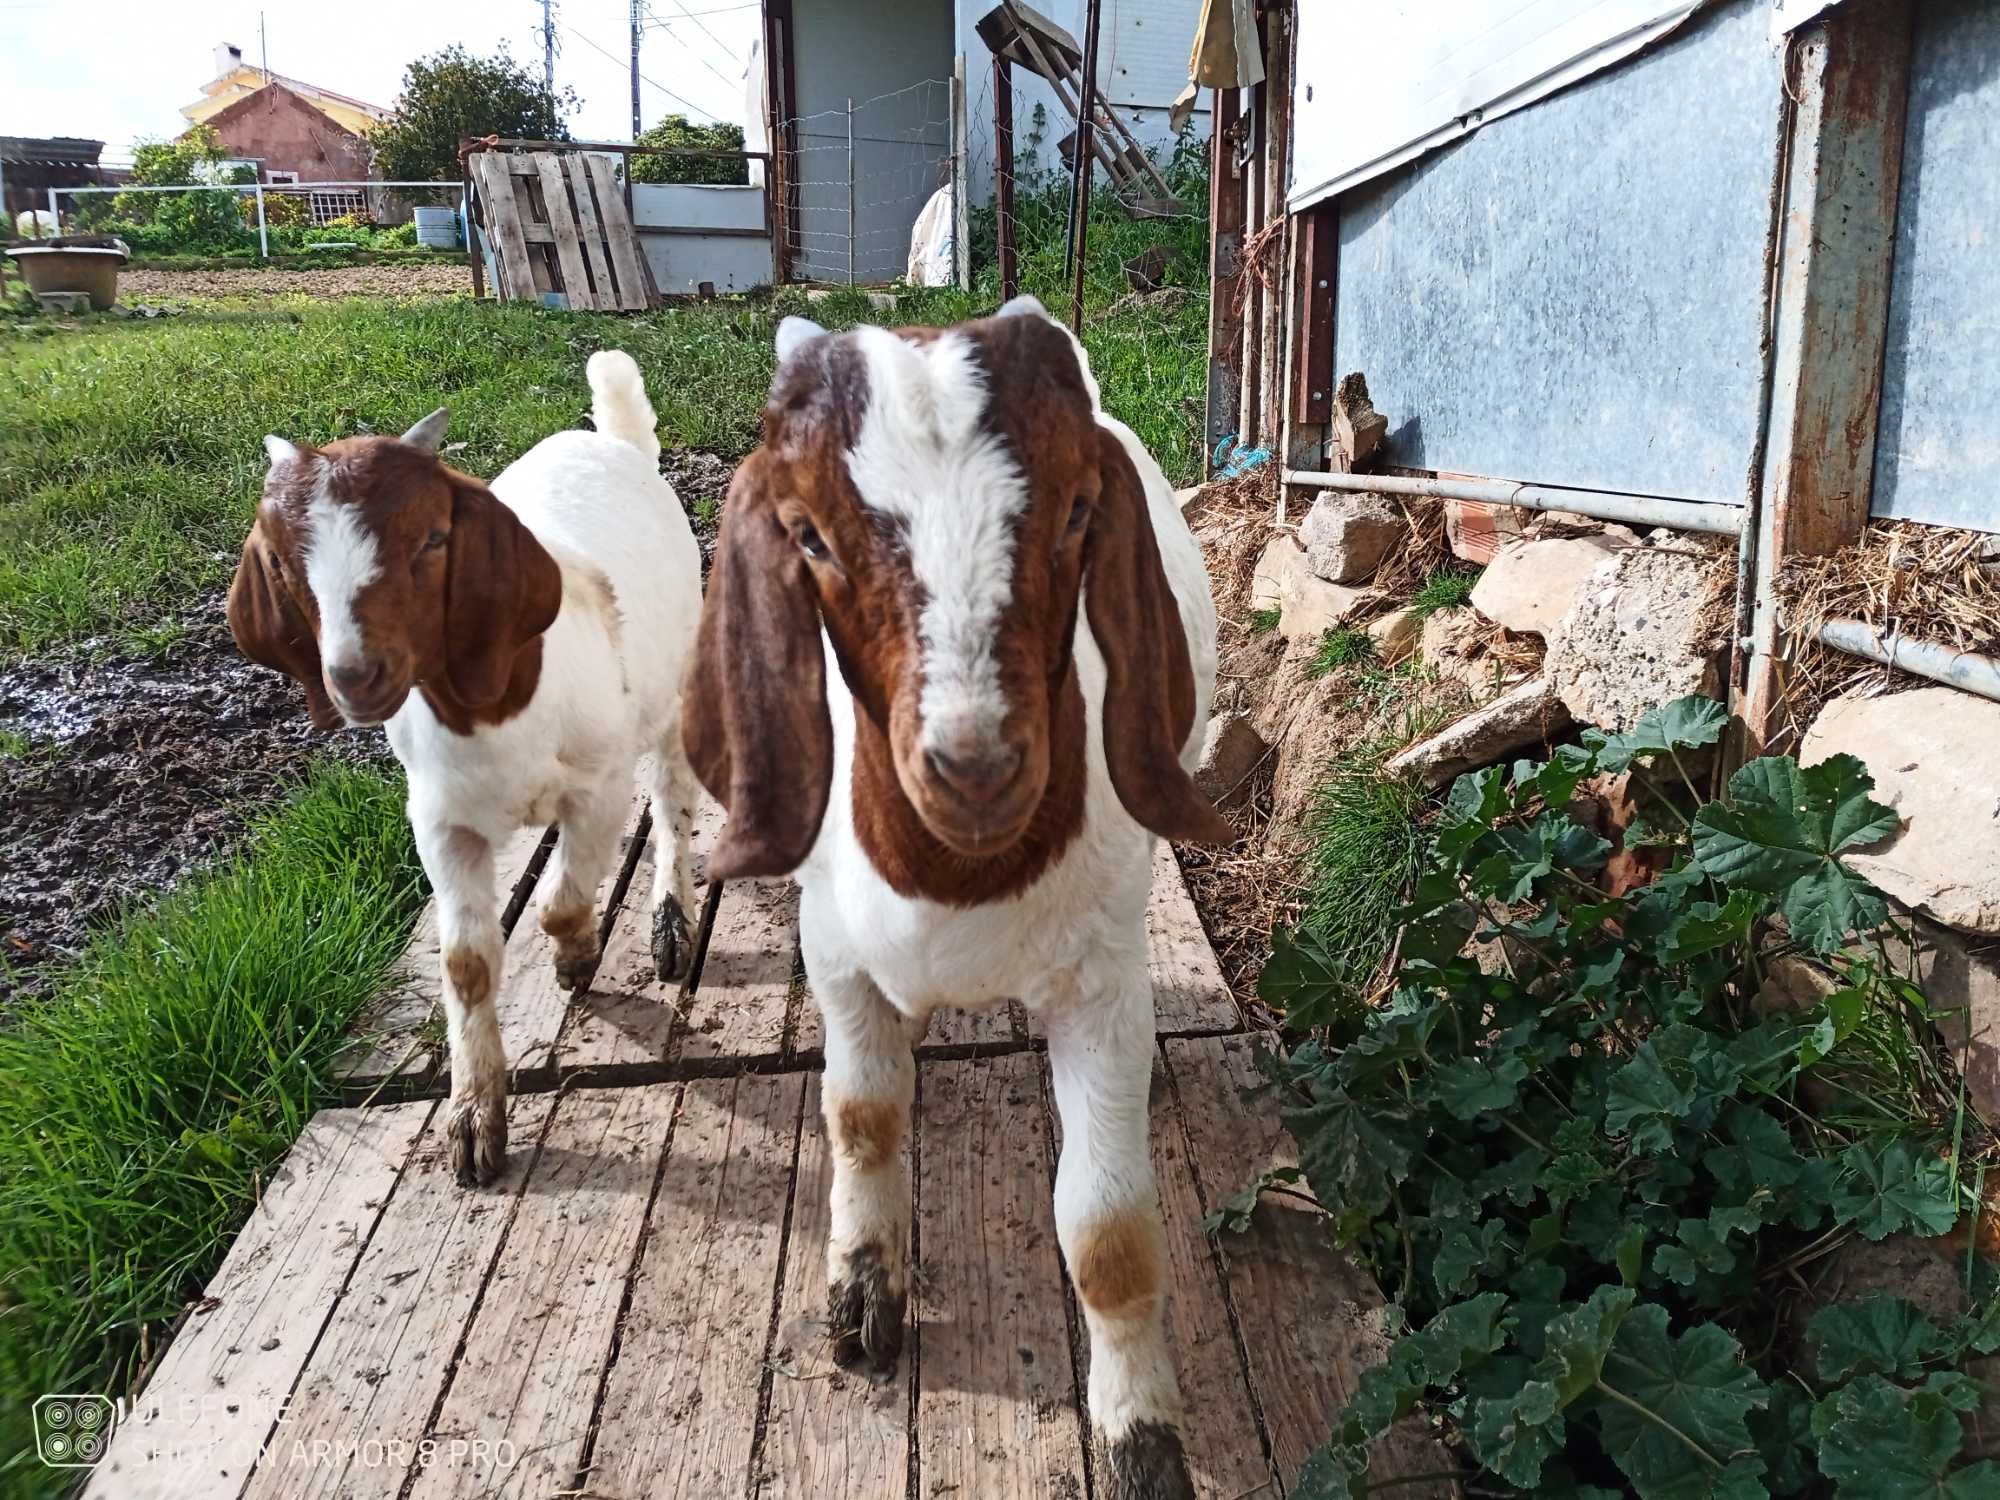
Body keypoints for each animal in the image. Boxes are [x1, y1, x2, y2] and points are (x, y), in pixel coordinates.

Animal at [680, 296, 1224, 1500]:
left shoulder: (1099, 986)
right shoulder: (834, 955)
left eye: (1079, 510)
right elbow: (861, 1115)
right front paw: (860, 1293)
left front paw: (1143, 1436)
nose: (973, 769)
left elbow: (1108, 1232)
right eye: (809, 535)